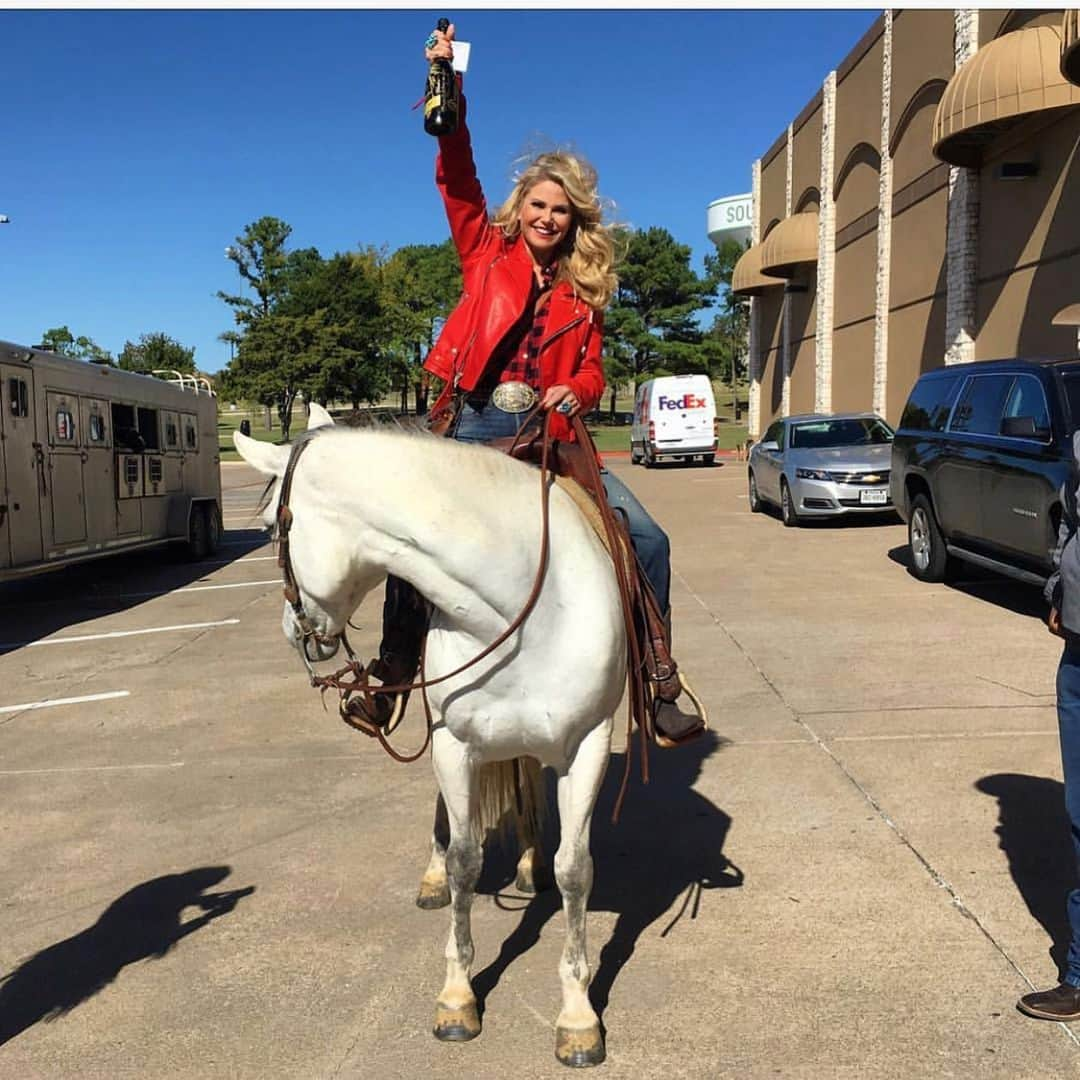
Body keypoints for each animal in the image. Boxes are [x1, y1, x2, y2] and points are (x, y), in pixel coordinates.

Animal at [236, 403, 626, 1062]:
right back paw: (436, 872)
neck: (519, 608)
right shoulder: (454, 743)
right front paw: (457, 996)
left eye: (269, 527)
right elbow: (467, 860)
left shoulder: (589, 745)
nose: (293, 631)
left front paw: (578, 1015)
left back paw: (529, 863)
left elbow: (577, 870)